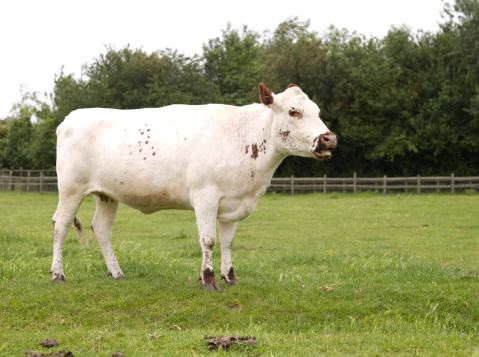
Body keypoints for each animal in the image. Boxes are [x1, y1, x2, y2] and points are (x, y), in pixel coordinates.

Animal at [51, 83, 338, 292]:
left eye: (318, 112)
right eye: (294, 112)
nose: (329, 138)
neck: (244, 137)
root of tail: (70, 118)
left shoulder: (233, 203)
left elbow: (228, 242)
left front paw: (229, 277)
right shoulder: (205, 197)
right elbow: (208, 240)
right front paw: (208, 279)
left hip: (107, 194)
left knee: (101, 229)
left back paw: (116, 272)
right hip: (71, 189)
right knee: (60, 226)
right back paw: (58, 274)